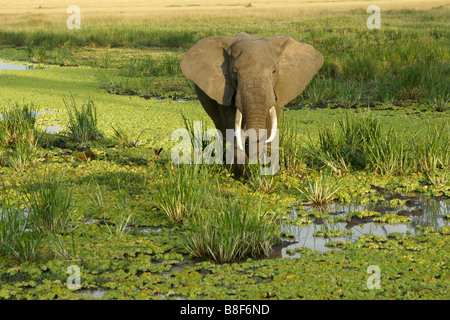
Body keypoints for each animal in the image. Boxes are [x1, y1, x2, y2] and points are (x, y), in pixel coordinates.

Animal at [179, 32, 324, 176]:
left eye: (274, 71)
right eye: (235, 73)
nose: (249, 141)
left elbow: (271, 125)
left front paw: (268, 171)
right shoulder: (225, 92)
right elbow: (232, 127)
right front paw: (245, 174)